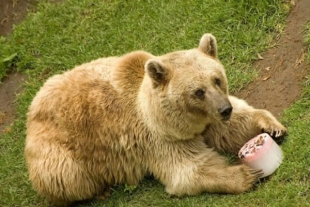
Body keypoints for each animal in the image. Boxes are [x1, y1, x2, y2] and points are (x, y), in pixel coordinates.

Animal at [24, 33, 286, 206]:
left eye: (217, 79)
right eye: (198, 91)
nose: (224, 109)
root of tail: (32, 109)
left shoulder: (205, 123)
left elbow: (232, 128)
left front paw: (271, 126)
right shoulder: (158, 140)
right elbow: (189, 170)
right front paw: (245, 174)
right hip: (59, 153)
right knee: (65, 178)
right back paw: (98, 191)